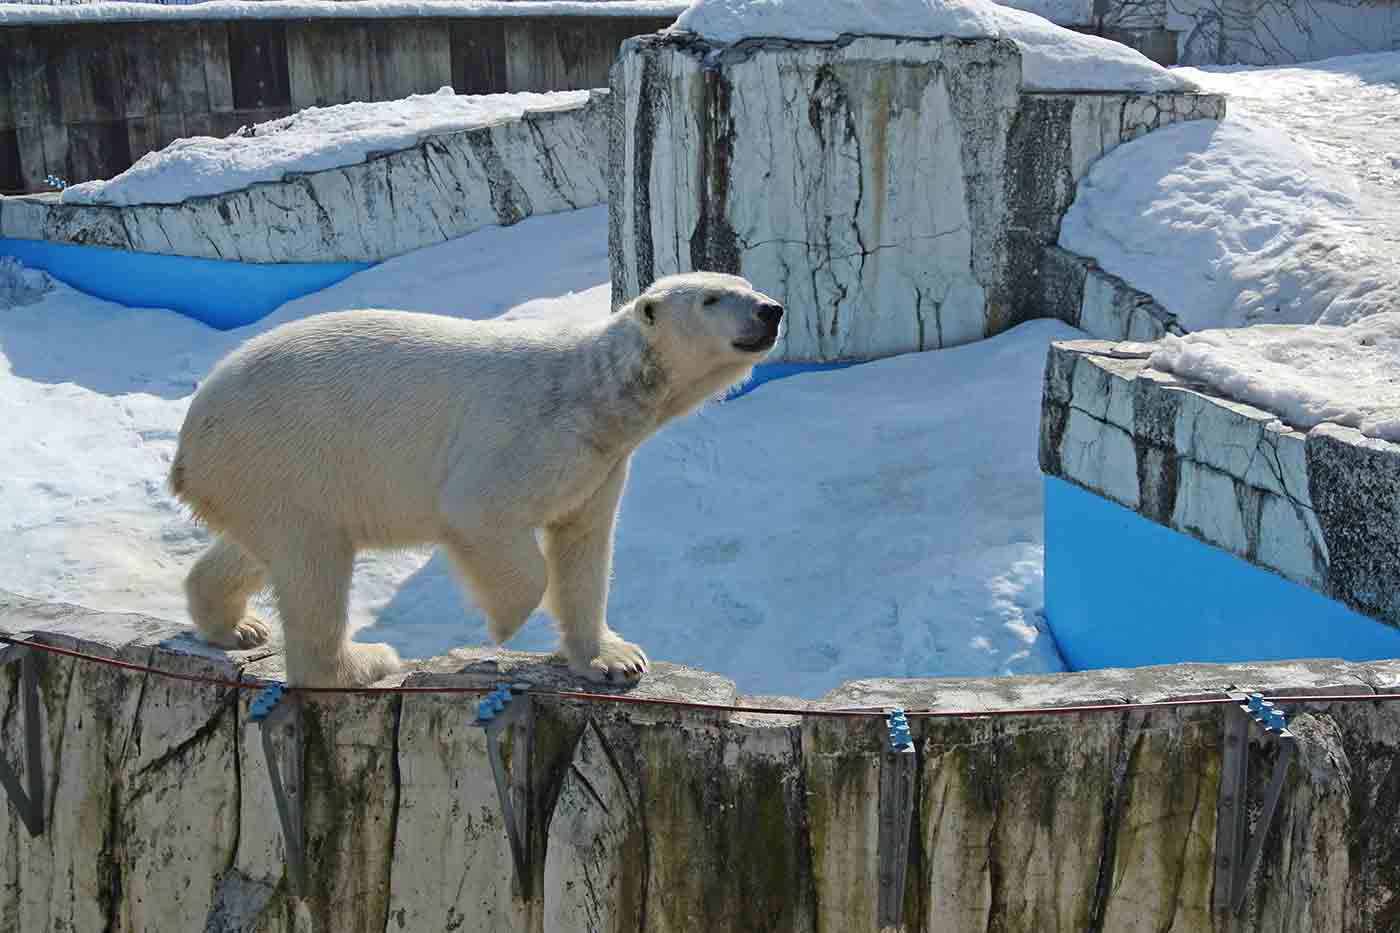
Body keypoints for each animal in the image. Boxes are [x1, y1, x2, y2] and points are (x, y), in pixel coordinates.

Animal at [169, 268, 784, 683]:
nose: (771, 310)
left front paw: (614, 658)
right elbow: (485, 516)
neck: (598, 393)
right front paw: (502, 624)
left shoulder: (601, 462)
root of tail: (191, 435)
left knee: (260, 547)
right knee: (314, 561)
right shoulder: (526, 437)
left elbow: (584, 546)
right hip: (287, 451)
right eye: (711, 298)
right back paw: (361, 663)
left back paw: (236, 627)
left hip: (257, 476)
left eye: (746, 283)